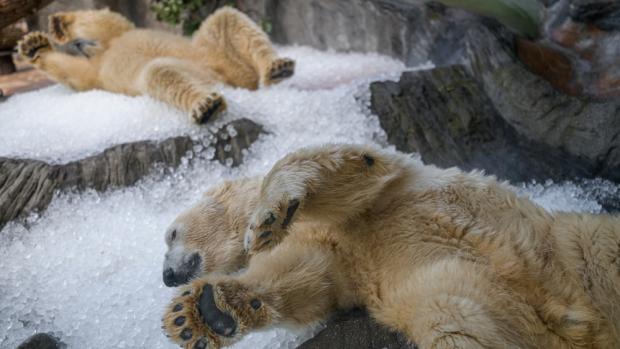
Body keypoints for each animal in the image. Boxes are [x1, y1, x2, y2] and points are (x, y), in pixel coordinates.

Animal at [15, 6, 294, 124]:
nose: (81, 45)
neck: (102, 52)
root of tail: (228, 79)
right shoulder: (97, 73)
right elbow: (75, 75)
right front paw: (34, 45)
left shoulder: (115, 39)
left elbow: (108, 21)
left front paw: (49, 30)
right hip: (217, 65)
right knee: (160, 72)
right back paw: (206, 105)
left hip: (211, 53)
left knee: (227, 19)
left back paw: (277, 67)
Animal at [161, 143, 620, 346]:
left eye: (171, 233)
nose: (166, 275)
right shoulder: (347, 256)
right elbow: (305, 277)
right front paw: (200, 314)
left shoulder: (390, 188)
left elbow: (346, 167)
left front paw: (269, 217)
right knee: (456, 323)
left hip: (578, 245)